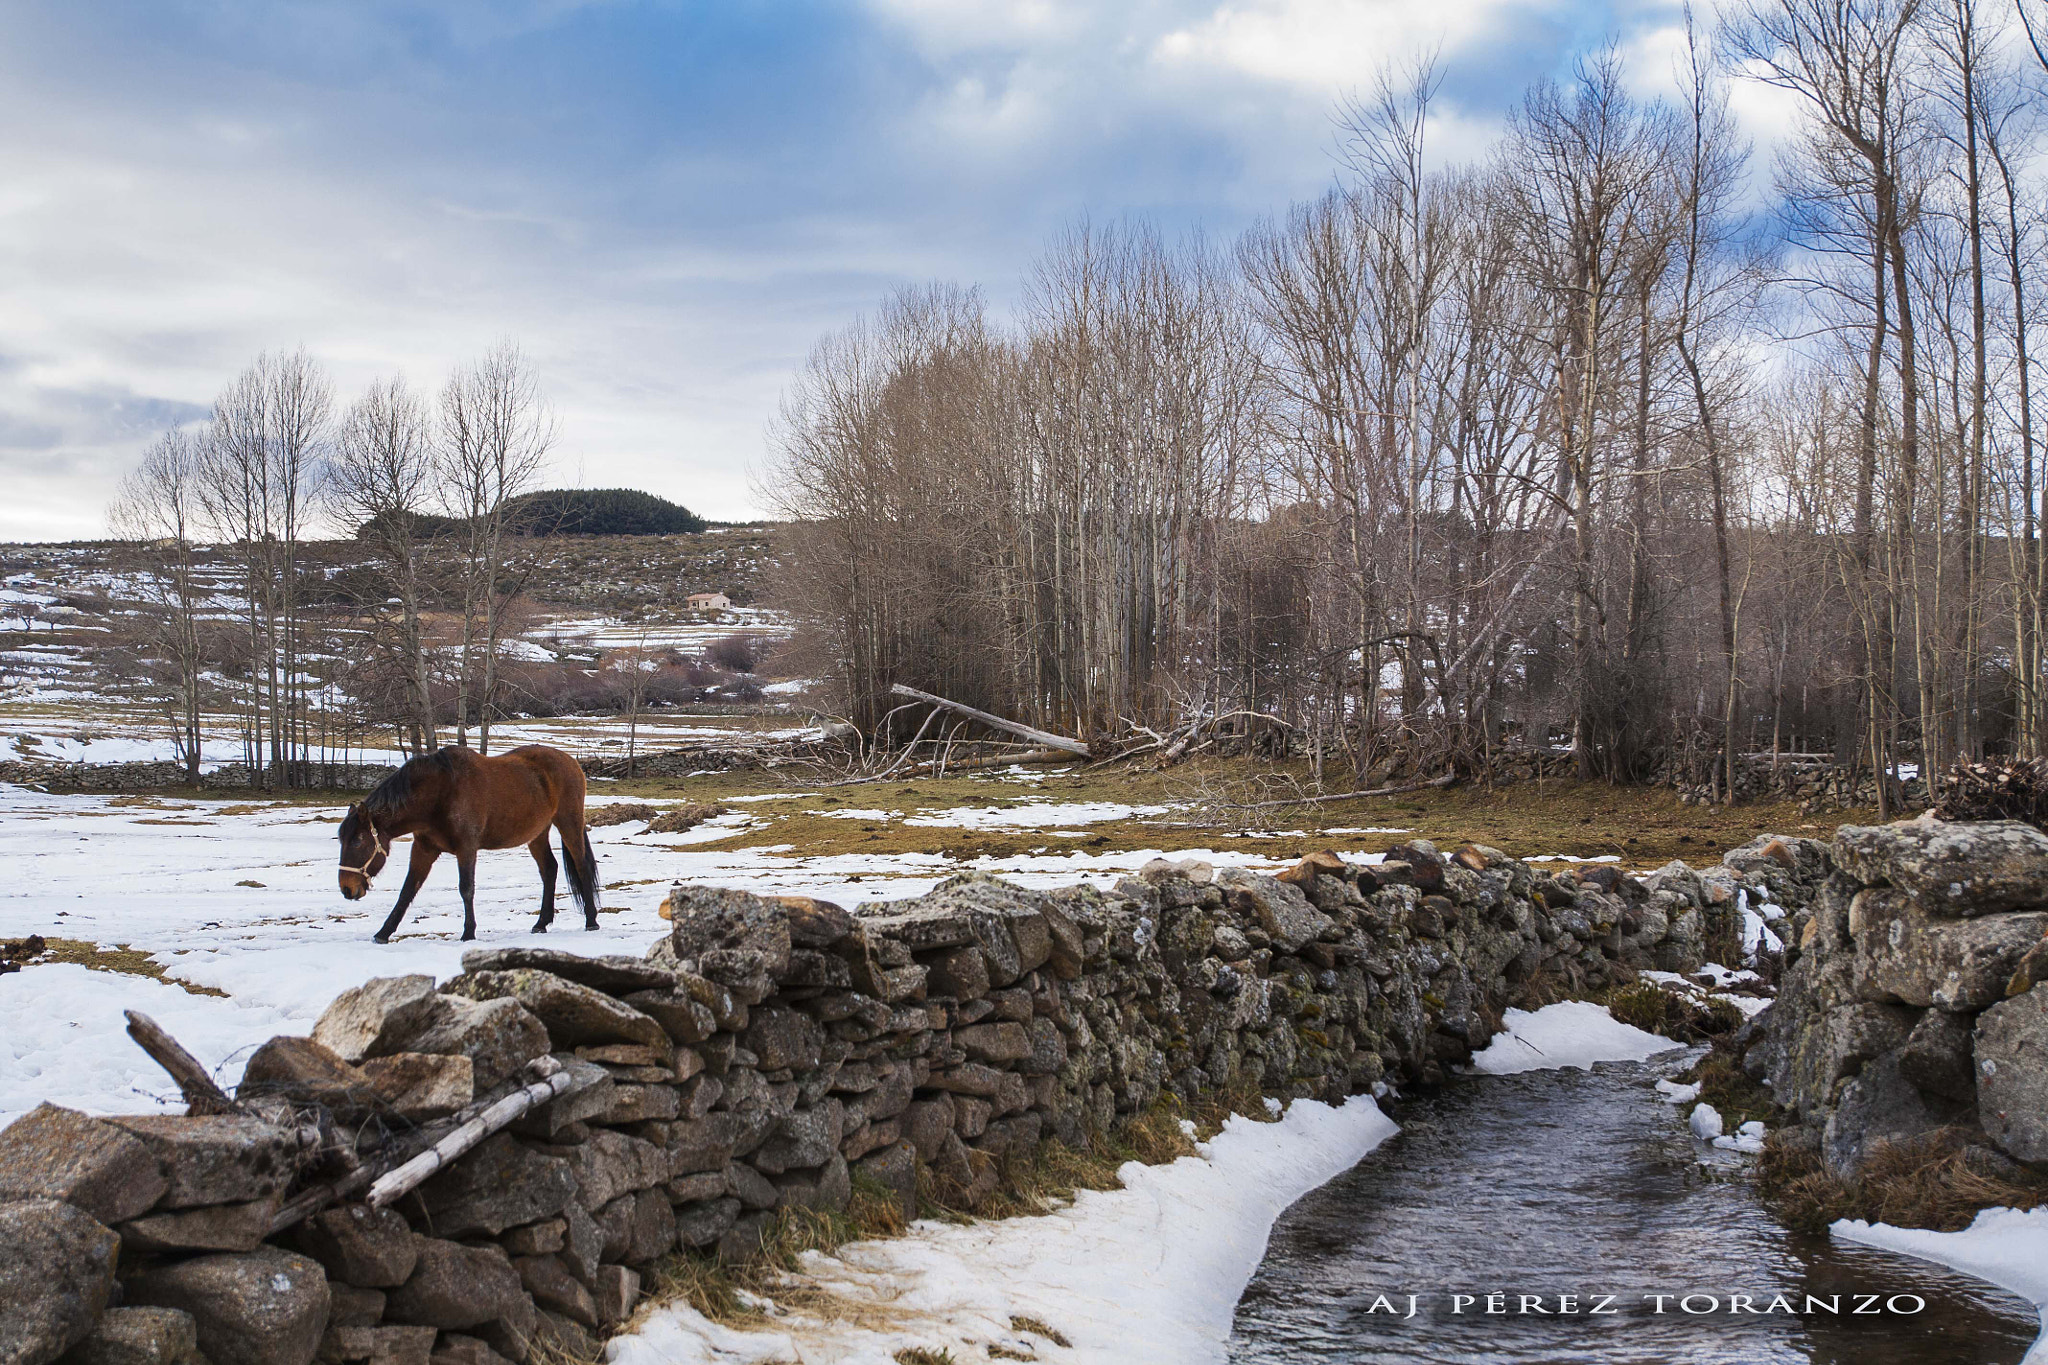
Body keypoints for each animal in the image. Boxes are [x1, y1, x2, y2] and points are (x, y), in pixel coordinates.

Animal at [336, 744, 600, 943]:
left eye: (358, 841)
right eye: (342, 840)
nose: (347, 889)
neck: (441, 793)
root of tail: (571, 762)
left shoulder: (466, 848)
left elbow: (466, 888)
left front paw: (468, 933)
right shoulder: (424, 849)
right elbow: (408, 890)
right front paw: (383, 933)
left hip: (568, 822)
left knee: (581, 866)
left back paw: (591, 920)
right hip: (537, 833)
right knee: (549, 869)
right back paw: (541, 923)